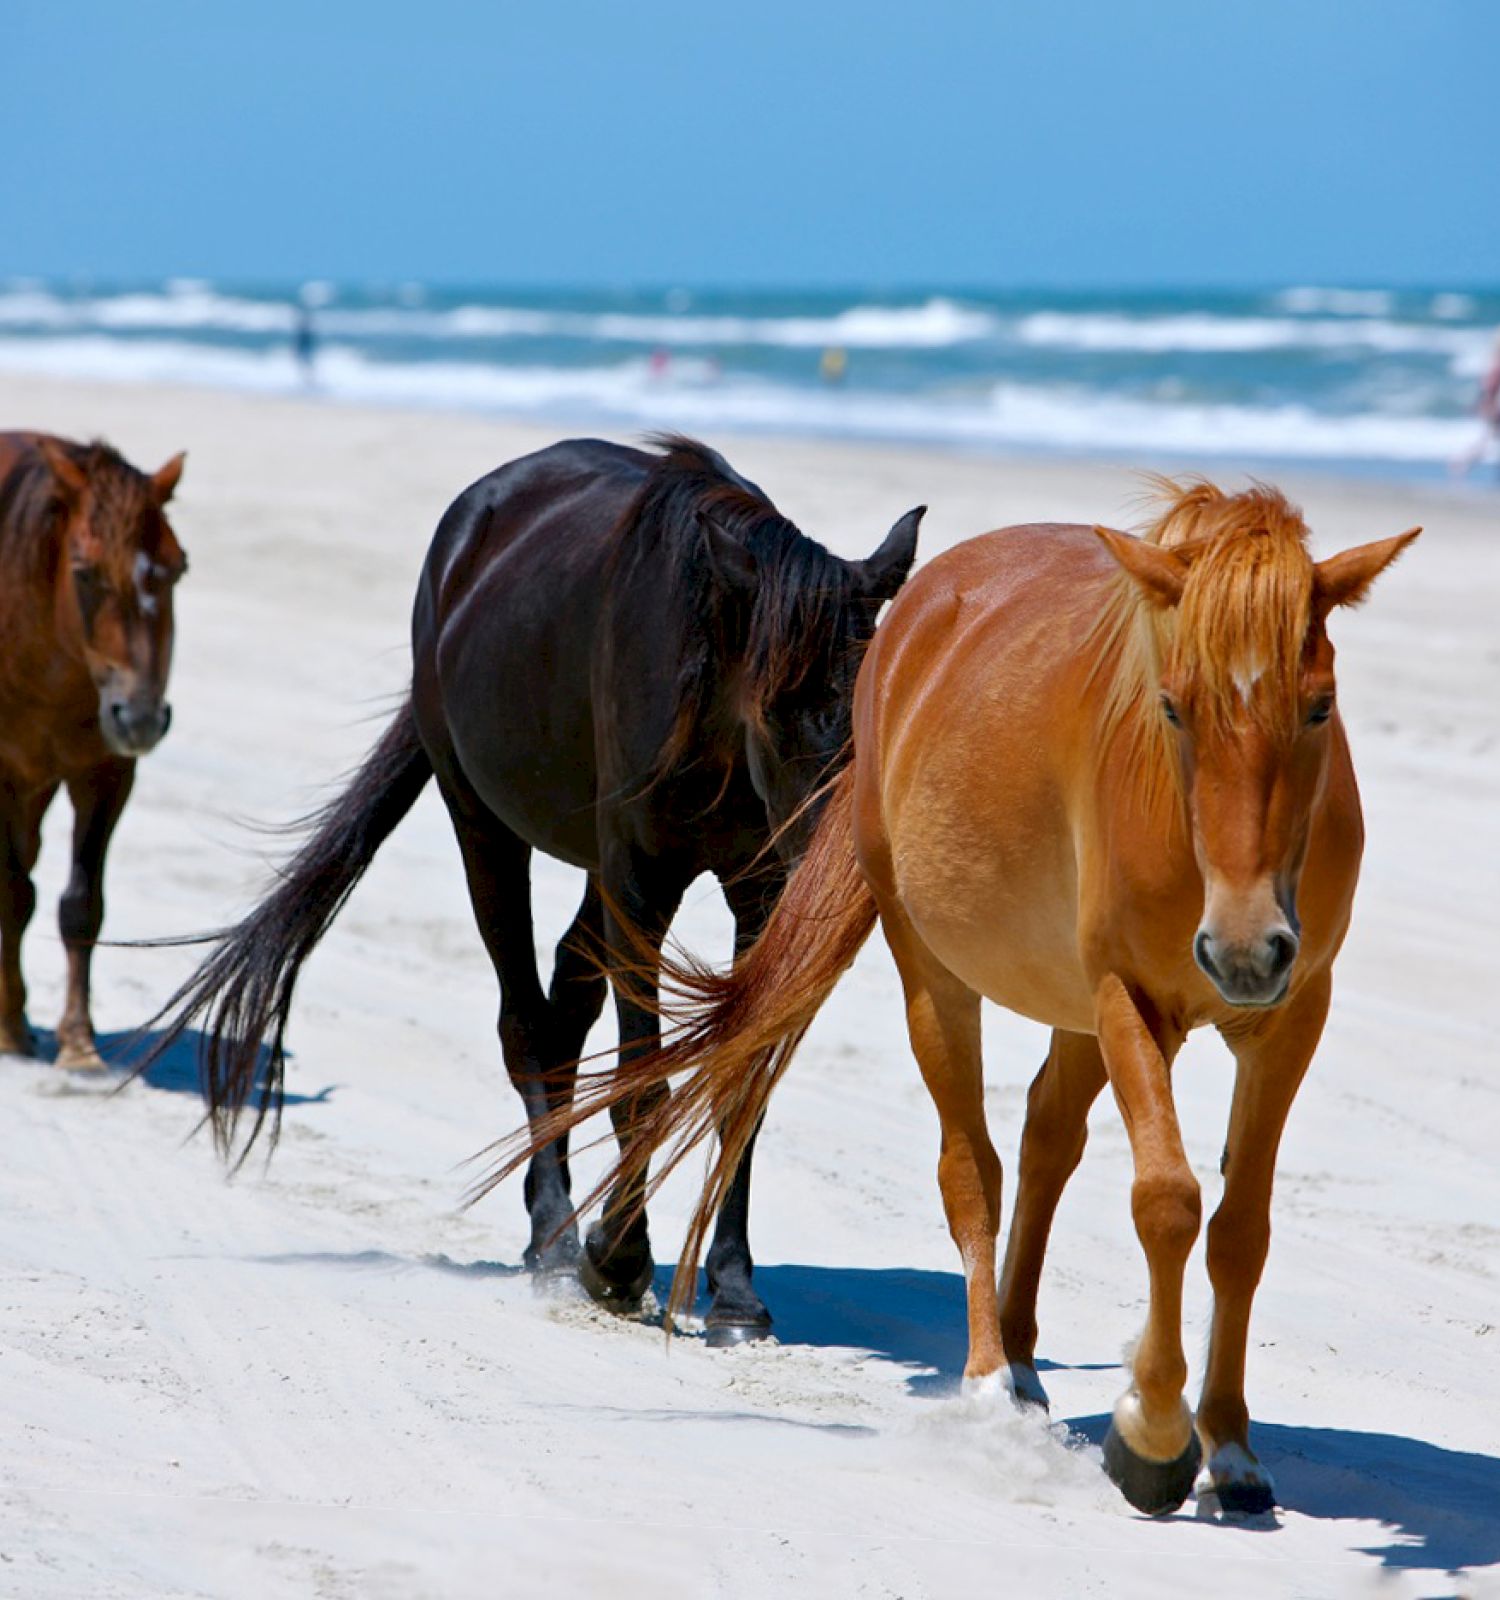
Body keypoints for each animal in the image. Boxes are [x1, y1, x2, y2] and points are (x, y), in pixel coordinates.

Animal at [0, 432, 185, 1068]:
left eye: (178, 569)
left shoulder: (106, 774)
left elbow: (82, 903)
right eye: (84, 573)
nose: (142, 718)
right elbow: (14, 894)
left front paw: (78, 1043)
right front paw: (11, 1031)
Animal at [143, 432, 914, 1344]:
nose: (835, 865)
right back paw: (554, 1238)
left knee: (561, 1017)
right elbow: (641, 1083)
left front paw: (732, 1292)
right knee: (523, 1024)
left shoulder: (756, 892)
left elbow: (739, 1086)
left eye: (866, 713)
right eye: (774, 709)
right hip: (484, 825)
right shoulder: (640, 884)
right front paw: (616, 1260)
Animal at [489, 480, 1413, 1516]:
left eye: (1319, 708)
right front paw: (1152, 1435)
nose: (1246, 949)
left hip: (1079, 1012)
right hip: (940, 981)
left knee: (1047, 1139)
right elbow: (1167, 1201)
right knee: (972, 1168)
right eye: (1173, 708)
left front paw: (1233, 1448)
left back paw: (1022, 1359)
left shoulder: (1290, 1022)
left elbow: (1240, 1231)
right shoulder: (1131, 1001)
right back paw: (988, 1385)